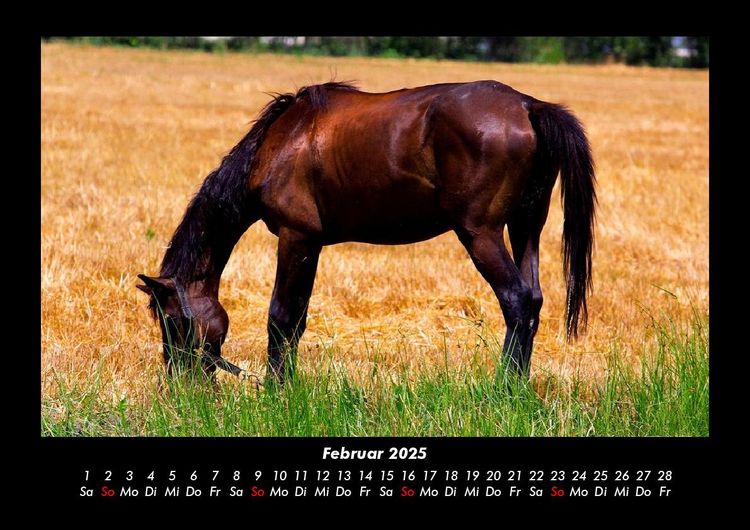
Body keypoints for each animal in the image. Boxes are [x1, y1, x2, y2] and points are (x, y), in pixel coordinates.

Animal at [137, 80, 596, 384]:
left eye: (172, 321)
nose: (180, 384)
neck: (280, 143)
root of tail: (529, 106)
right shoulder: (313, 244)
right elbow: (297, 319)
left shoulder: (295, 237)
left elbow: (281, 317)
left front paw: (277, 391)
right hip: (525, 228)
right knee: (533, 299)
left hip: (481, 233)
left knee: (516, 300)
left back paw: (503, 388)